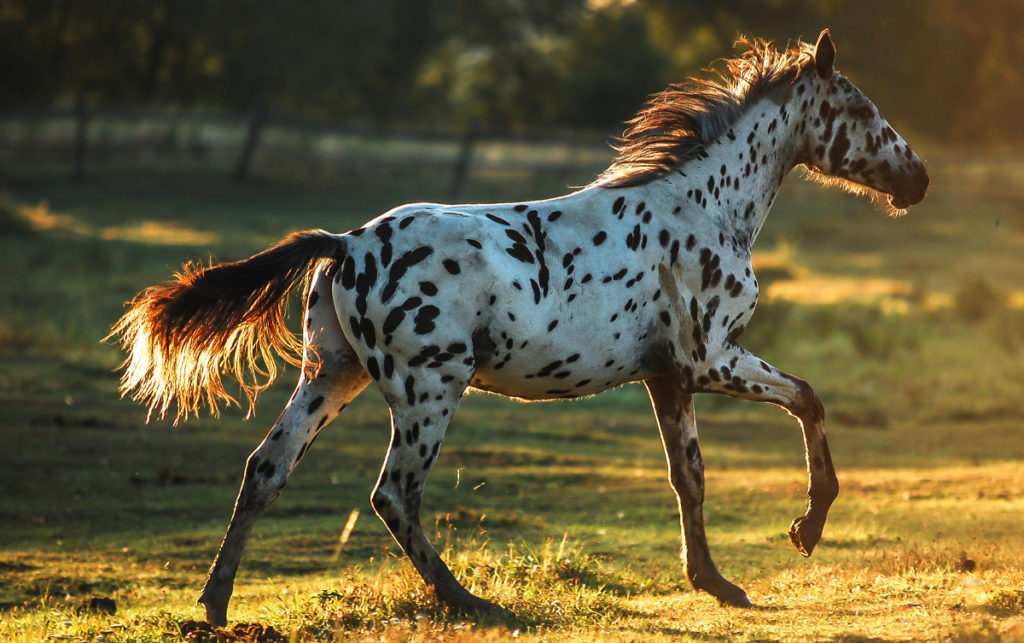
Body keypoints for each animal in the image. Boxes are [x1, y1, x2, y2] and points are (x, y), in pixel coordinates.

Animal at [109, 30, 928, 625]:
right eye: (861, 111)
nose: (917, 178)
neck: (706, 205)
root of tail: (344, 245)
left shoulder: (668, 376)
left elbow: (689, 476)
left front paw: (716, 582)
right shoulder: (712, 358)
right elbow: (808, 397)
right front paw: (807, 528)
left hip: (330, 374)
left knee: (266, 469)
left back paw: (215, 605)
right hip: (429, 388)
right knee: (393, 493)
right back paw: (475, 604)